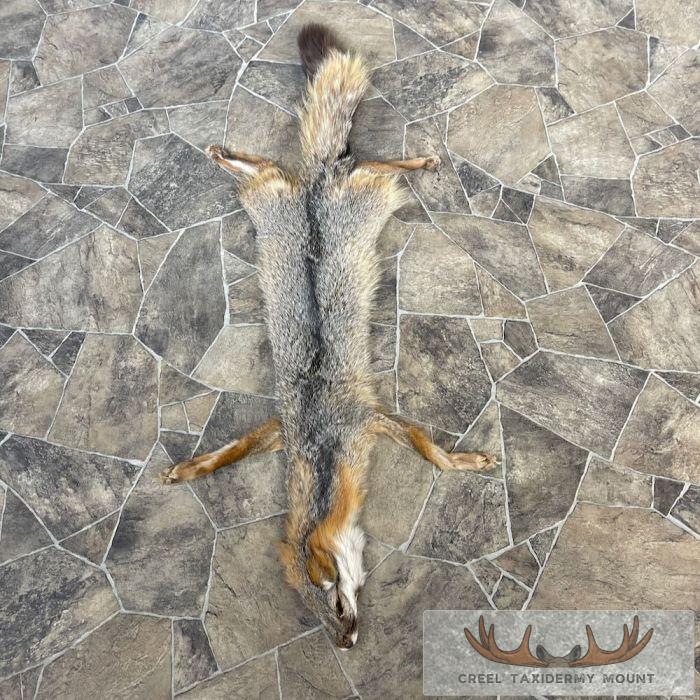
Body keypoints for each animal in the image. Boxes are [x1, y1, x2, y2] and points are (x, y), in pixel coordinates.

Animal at [159, 24, 496, 649]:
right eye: (320, 616)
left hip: (365, 186)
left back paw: (419, 158)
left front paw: (465, 461)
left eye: (336, 606)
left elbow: (436, 456)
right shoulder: (280, 432)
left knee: (374, 159)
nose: (347, 644)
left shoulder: (372, 422)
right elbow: (228, 452)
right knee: (275, 165)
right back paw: (227, 157)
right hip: (277, 194)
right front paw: (190, 469)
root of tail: (318, 188)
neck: (321, 452)